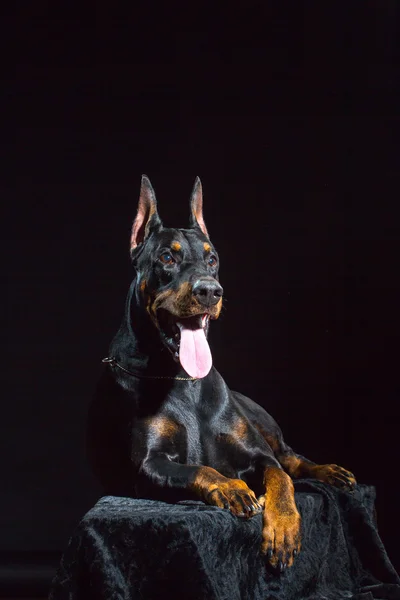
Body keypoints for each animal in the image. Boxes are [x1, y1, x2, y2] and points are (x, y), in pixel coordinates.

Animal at [86, 176, 354, 568]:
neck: (181, 380)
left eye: (211, 259)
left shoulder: (259, 454)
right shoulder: (148, 466)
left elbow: (280, 477)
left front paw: (283, 527)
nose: (210, 291)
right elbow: (199, 469)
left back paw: (329, 471)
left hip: (263, 423)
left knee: (292, 459)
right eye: (167, 257)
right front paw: (234, 489)